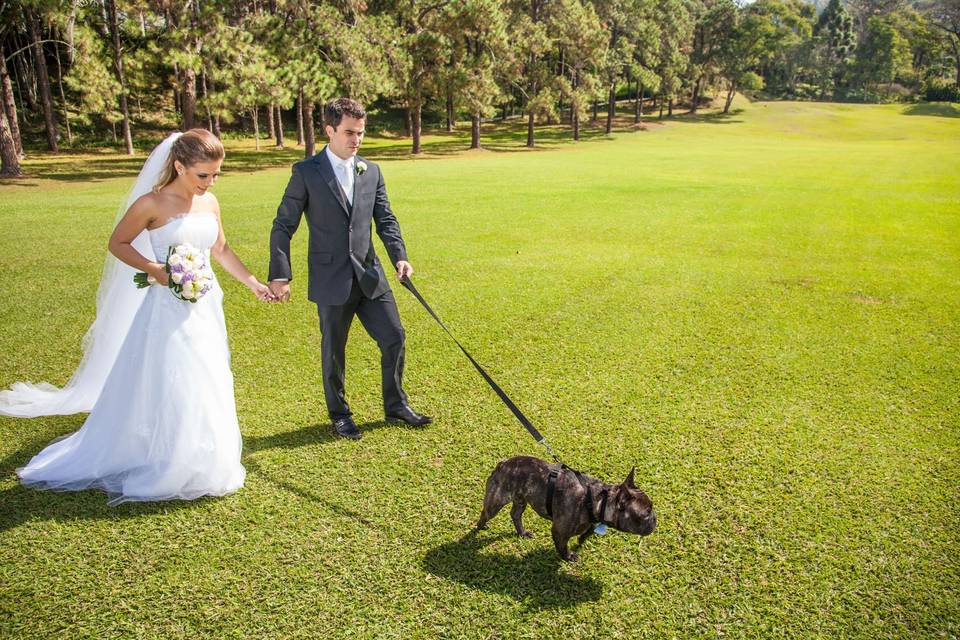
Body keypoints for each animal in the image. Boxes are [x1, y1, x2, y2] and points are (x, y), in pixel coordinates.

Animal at [476, 456, 656, 560]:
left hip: (521, 499)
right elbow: (563, 546)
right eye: (646, 514)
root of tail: (503, 464)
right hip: (496, 501)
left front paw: (582, 539)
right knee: (486, 512)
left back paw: (522, 532)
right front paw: (568, 556)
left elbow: (587, 530)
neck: (597, 500)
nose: (655, 518)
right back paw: (480, 526)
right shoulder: (559, 531)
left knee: (515, 514)